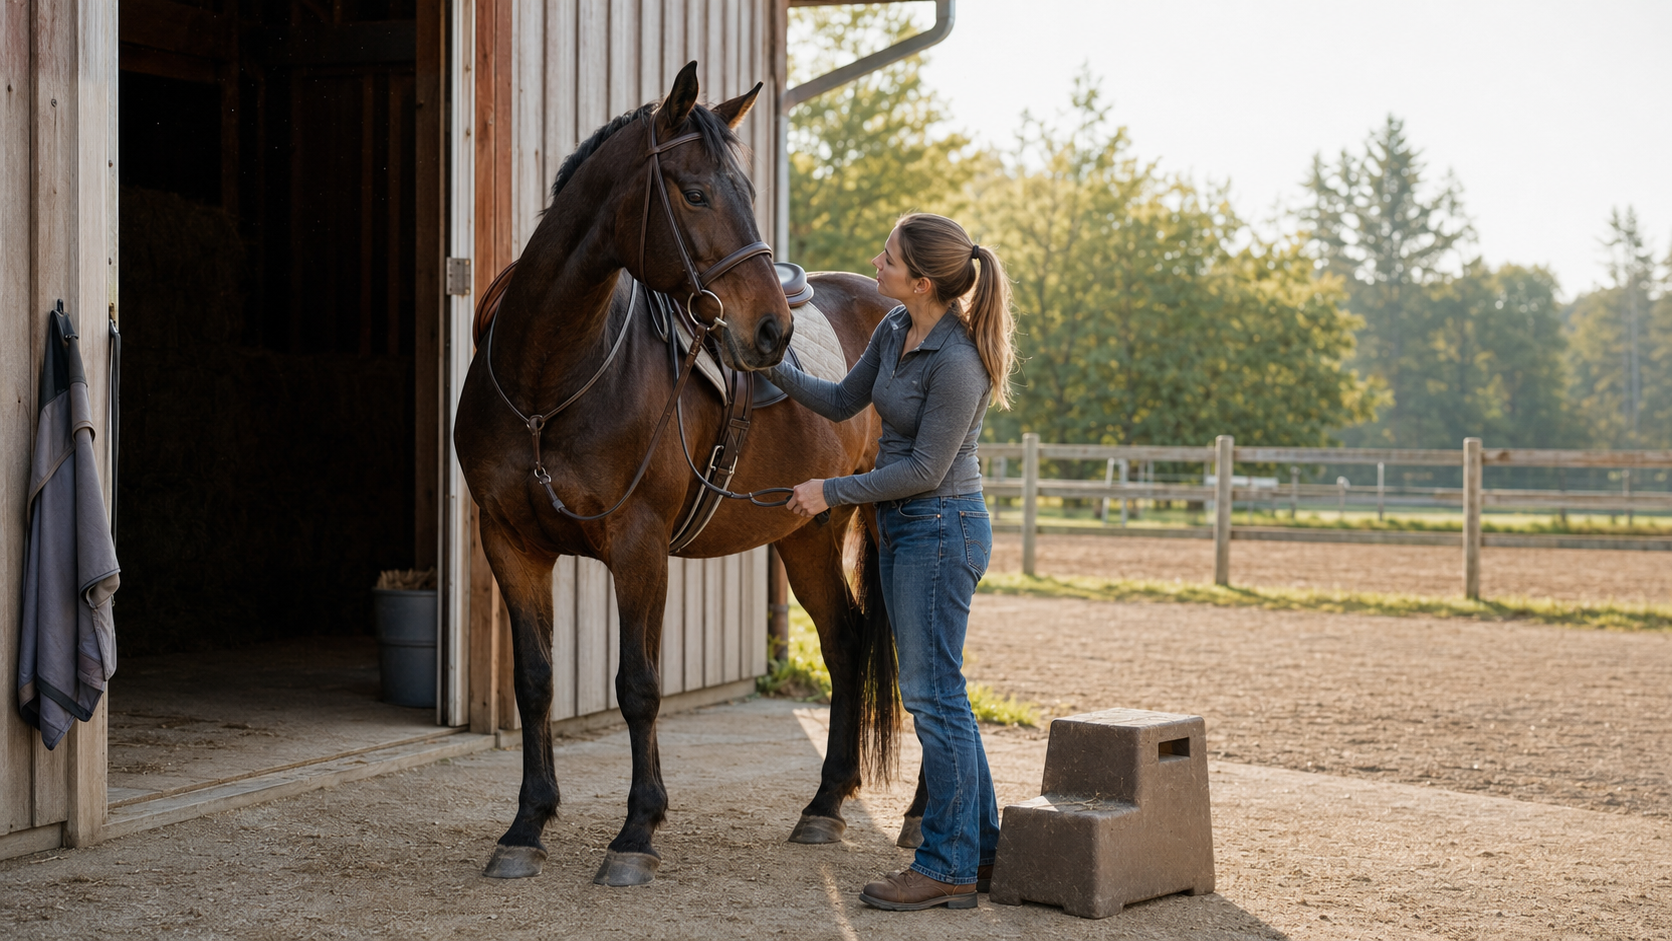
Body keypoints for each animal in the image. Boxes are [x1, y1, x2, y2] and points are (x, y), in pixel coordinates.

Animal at [453, 62, 901, 886]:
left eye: (745, 191)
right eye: (694, 193)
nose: (772, 331)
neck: (546, 384)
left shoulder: (639, 548)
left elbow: (639, 686)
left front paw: (636, 832)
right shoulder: (510, 544)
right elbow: (535, 682)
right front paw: (527, 824)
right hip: (809, 533)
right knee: (847, 641)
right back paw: (824, 803)